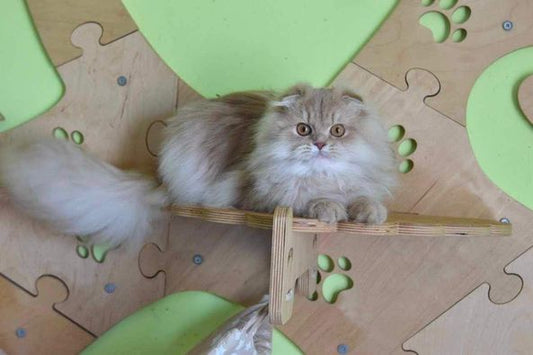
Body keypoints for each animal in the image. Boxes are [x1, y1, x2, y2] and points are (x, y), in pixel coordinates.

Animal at [0, 84, 394, 248]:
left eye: (338, 130)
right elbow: (309, 200)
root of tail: (163, 180)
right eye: (303, 129)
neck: (324, 175)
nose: (320, 144)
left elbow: (363, 198)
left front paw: (370, 212)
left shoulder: (358, 184)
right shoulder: (263, 199)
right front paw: (329, 208)